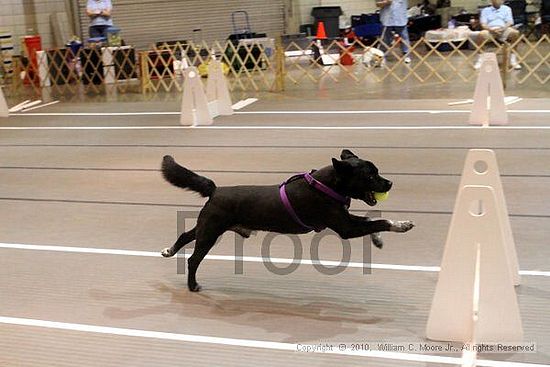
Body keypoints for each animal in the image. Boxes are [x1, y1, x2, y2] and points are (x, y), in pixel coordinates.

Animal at [162, 150, 416, 294]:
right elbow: (379, 220)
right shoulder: (345, 227)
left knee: (185, 235)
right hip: (211, 231)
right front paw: (401, 225)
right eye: (370, 175)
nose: (390, 183)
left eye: (377, 171)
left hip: (207, 226)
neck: (326, 185)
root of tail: (215, 190)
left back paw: (169, 251)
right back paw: (192, 286)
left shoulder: (347, 221)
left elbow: (370, 219)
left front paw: (378, 240)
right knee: (193, 259)